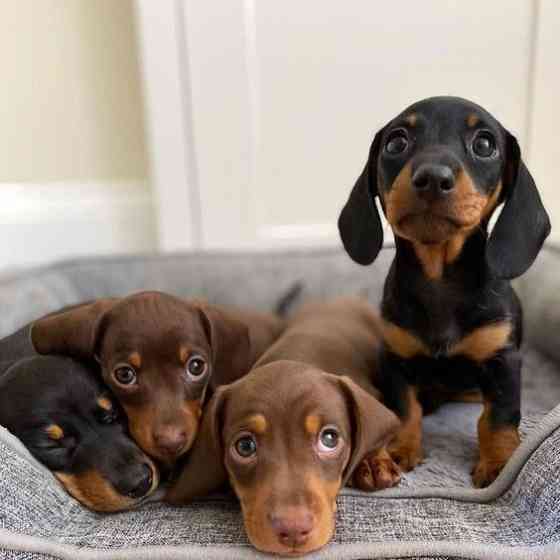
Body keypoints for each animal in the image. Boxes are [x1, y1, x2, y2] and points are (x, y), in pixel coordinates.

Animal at [336, 95, 552, 486]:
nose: (433, 178)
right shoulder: (395, 359)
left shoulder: (503, 361)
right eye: (396, 142)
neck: (440, 280)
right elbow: (405, 409)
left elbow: (498, 417)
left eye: (485, 144)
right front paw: (399, 451)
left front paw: (499, 463)